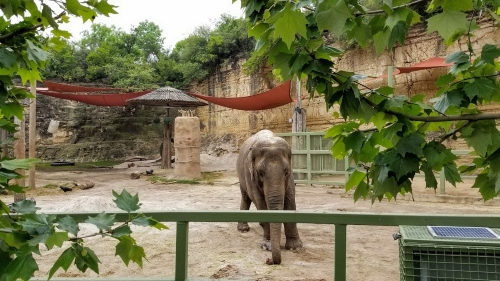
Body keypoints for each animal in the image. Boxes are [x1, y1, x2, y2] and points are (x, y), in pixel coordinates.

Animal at [236, 128, 302, 264]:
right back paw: (243, 229)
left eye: (286, 172)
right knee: (246, 197)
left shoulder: (290, 178)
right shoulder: (250, 174)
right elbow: (260, 203)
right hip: (241, 176)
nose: (269, 260)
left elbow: (290, 200)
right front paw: (267, 246)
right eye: (260, 173)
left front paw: (295, 248)